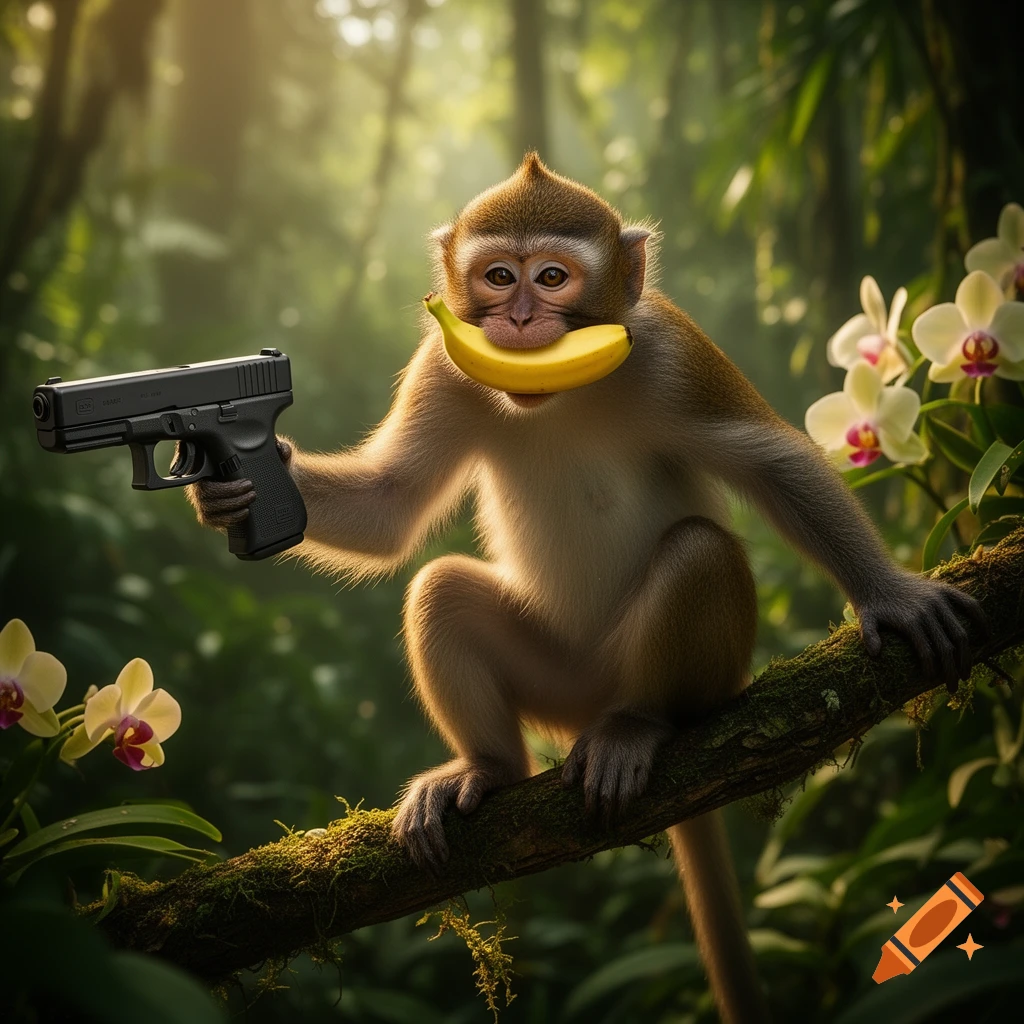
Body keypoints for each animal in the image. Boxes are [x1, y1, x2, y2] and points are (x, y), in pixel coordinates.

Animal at [184, 155, 985, 1023]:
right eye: (499, 276)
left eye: (553, 277)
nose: (520, 319)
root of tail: (594, 705)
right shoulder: (442, 366)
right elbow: (389, 507)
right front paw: (224, 491)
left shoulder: (672, 350)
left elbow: (780, 466)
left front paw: (890, 595)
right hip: (558, 686)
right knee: (442, 590)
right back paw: (488, 768)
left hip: (696, 673)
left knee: (698, 553)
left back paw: (639, 726)